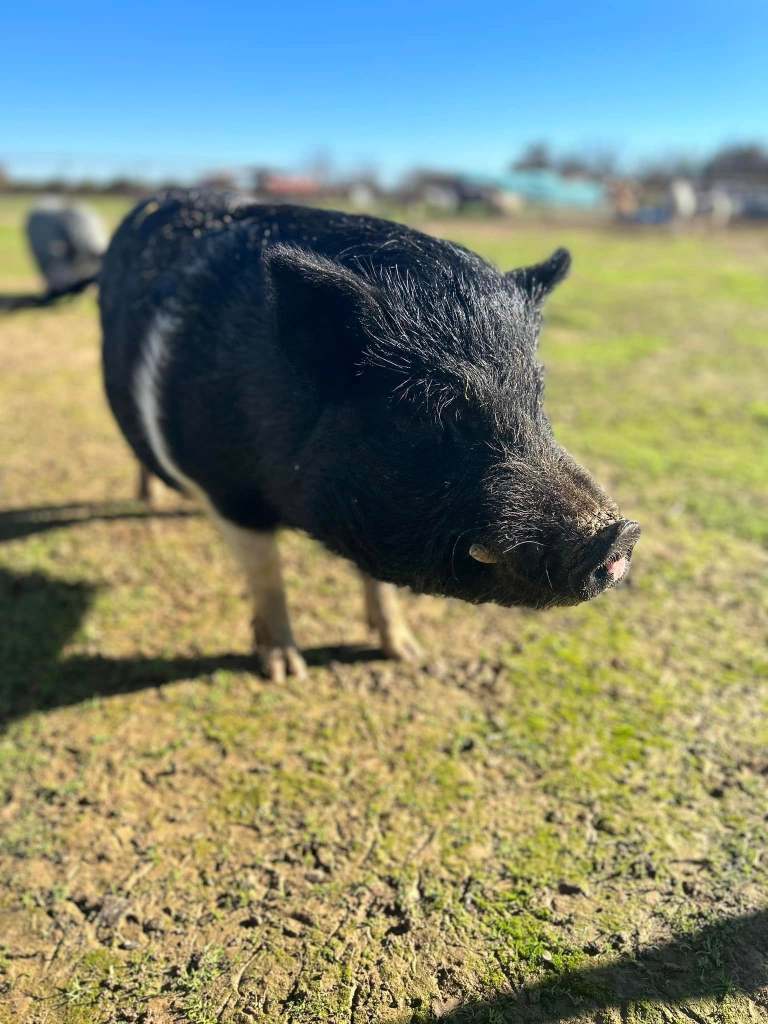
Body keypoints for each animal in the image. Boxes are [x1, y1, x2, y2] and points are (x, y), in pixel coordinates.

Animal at [99, 189, 640, 680]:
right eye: (429, 409)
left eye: (537, 393)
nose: (619, 534)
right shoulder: (229, 491)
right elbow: (266, 574)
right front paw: (286, 670)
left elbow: (375, 579)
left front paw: (406, 652)